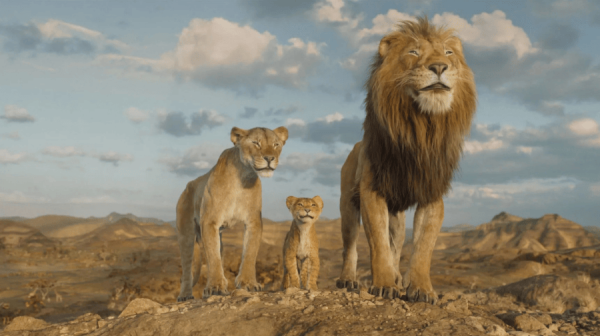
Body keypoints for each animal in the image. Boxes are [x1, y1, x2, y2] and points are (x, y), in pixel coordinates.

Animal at [176, 126, 288, 302]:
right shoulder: (209, 222)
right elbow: (213, 257)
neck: (242, 176)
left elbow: (250, 252)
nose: (270, 158)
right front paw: (215, 287)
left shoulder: (253, 221)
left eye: (276, 144)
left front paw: (248, 283)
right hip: (186, 234)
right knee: (187, 268)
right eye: (256, 143)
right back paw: (185, 295)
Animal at [338, 17, 478, 304]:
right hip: (347, 205)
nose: (439, 67)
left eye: (448, 53)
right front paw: (383, 284)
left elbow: (423, 247)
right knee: (350, 246)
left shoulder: (432, 193)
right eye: (414, 52)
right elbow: (378, 244)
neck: (422, 129)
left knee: (396, 244)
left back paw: (397, 277)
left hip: (398, 218)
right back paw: (348, 280)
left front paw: (421, 289)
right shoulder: (372, 191)